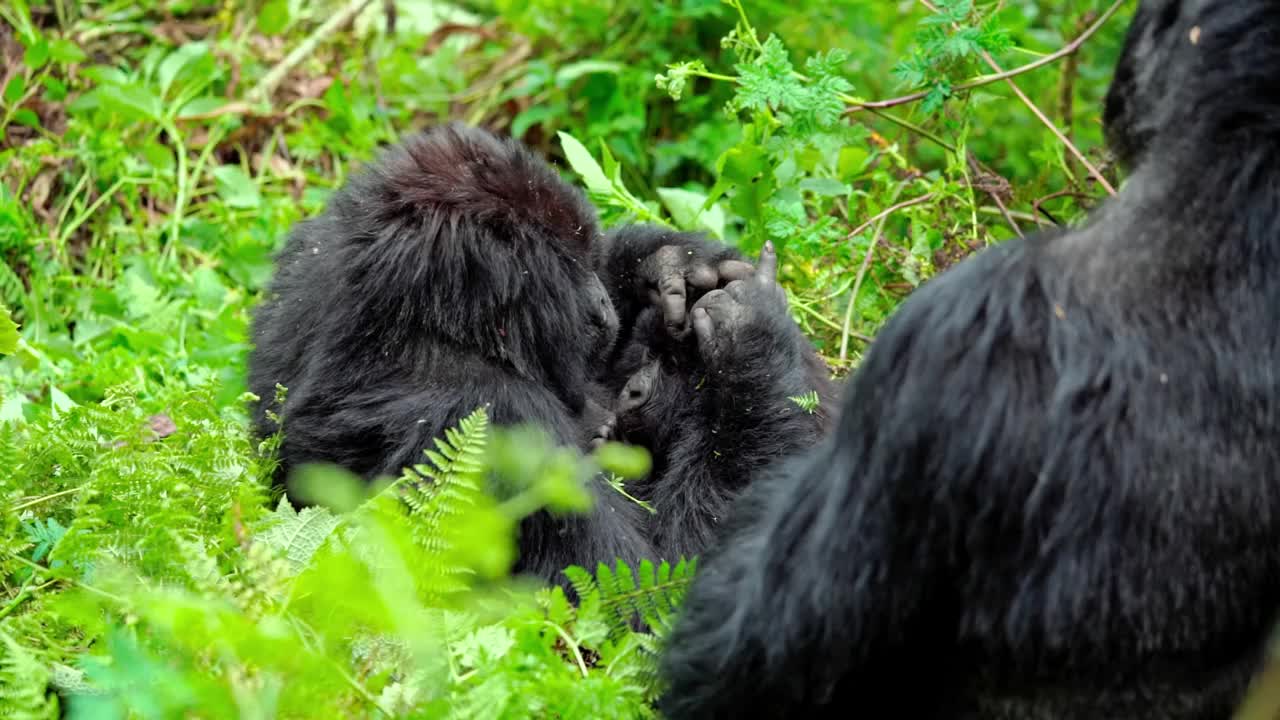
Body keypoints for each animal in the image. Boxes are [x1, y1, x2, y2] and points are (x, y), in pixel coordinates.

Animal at [245, 121, 834, 584]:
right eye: (572, 270)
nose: (602, 301)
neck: (405, 322)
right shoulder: (498, 421)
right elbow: (648, 579)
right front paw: (750, 340)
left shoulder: (317, 258)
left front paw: (674, 263)